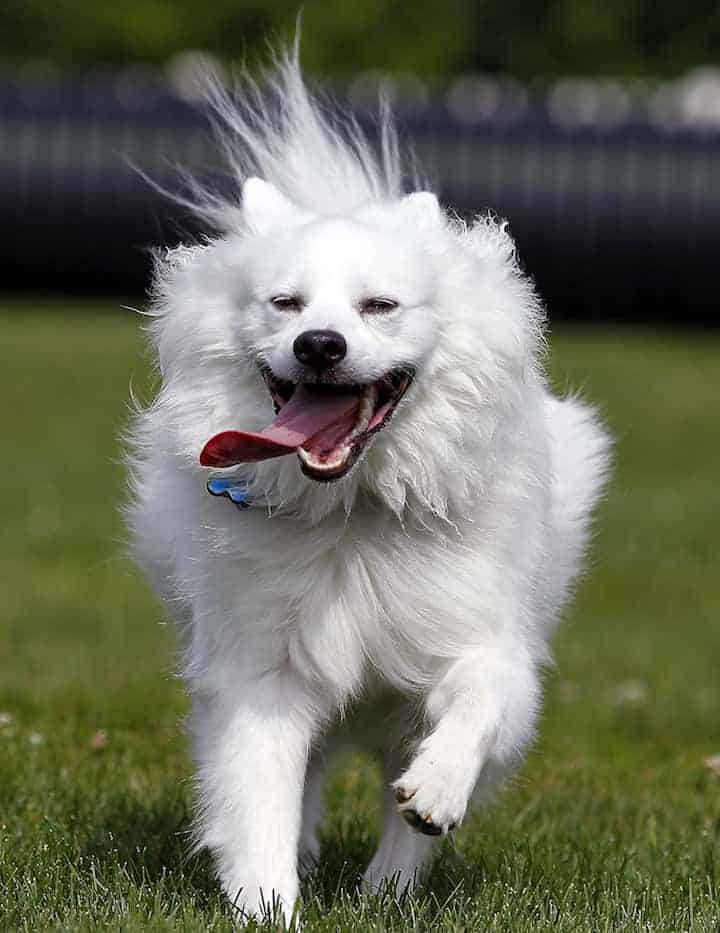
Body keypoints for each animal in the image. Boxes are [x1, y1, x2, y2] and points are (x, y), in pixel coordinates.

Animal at [125, 52, 608, 924]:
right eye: (284, 304)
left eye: (379, 306)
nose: (319, 343)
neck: (352, 509)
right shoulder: (262, 670)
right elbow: (258, 791)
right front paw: (267, 902)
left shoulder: (484, 638)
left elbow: (477, 701)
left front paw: (436, 793)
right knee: (311, 776)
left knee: (395, 801)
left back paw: (389, 888)